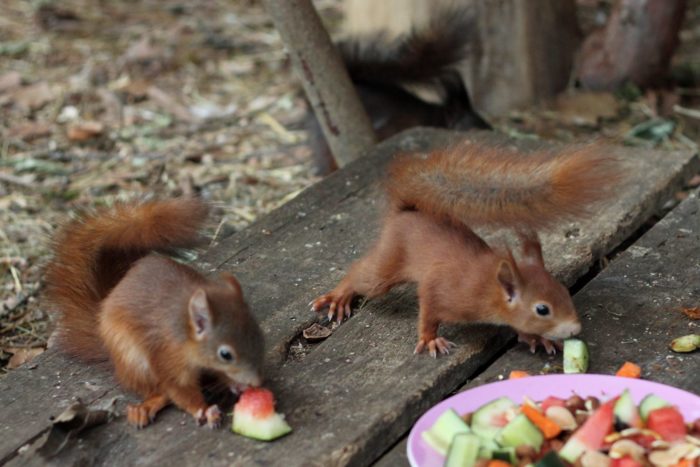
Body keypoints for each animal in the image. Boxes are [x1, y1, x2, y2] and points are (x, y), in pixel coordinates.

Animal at [45, 199, 266, 430]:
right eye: (226, 355)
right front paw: (204, 409)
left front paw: (234, 384)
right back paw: (145, 408)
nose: (257, 382)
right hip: (133, 360)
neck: (183, 329)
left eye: (260, 337)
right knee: (157, 392)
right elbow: (179, 391)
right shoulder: (166, 357)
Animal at [314, 143, 620, 358]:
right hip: (387, 264)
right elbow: (428, 310)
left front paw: (536, 338)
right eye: (542, 309)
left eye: (565, 292)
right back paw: (339, 297)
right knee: (361, 274)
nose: (575, 329)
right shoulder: (442, 288)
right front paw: (429, 338)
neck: (488, 286)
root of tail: (406, 212)